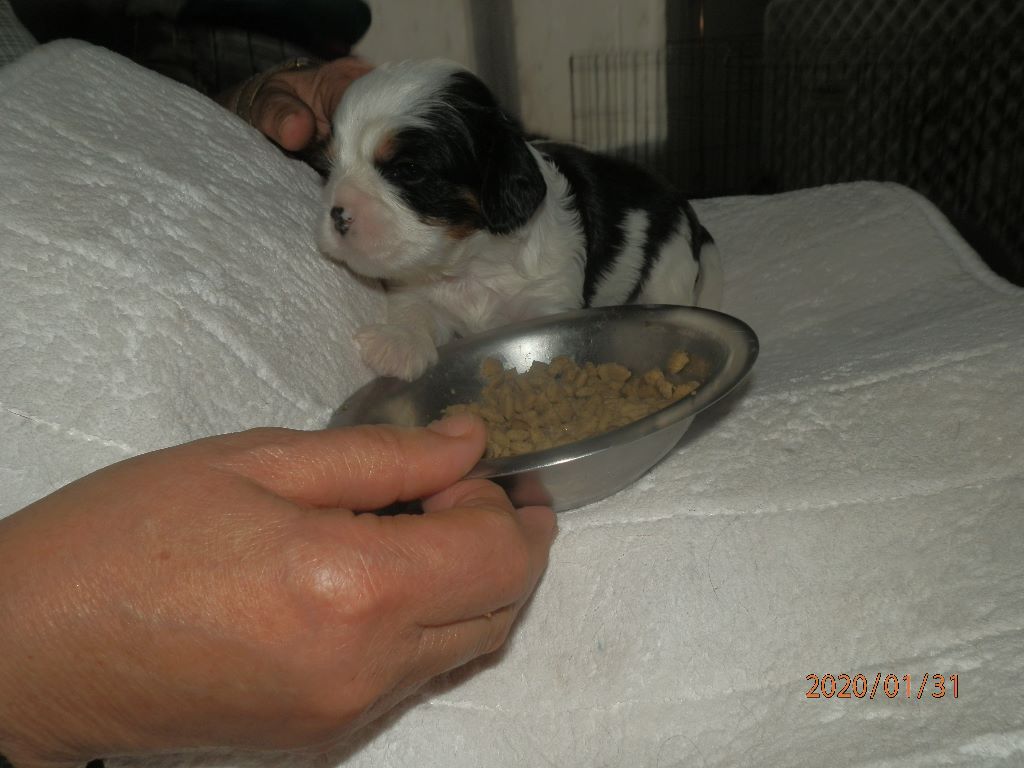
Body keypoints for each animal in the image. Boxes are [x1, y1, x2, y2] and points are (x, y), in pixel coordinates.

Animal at [317, 59, 722, 380]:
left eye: (407, 170)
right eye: (328, 166)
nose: (337, 214)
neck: (469, 263)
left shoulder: (548, 299)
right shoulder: (413, 287)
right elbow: (414, 309)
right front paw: (398, 344)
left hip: (669, 271)